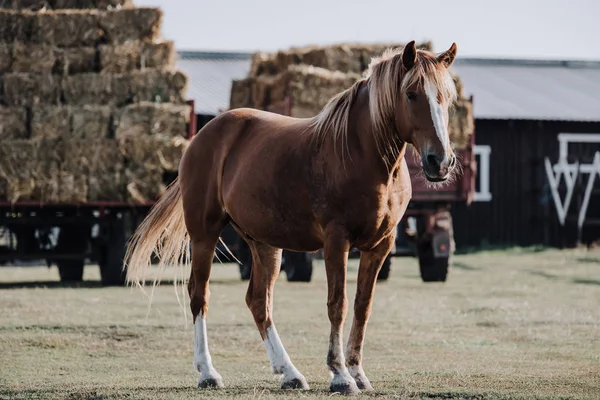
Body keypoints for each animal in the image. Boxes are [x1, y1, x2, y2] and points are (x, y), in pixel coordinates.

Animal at [123, 39, 460, 396]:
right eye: (411, 94)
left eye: (446, 96)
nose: (441, 161)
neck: (360, 154)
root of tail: (203, 136)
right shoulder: (336, 242)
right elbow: (338, 304)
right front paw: (340, 375)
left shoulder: (380, 246)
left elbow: (362, 306)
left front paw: (358, 373)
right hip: (204, 234)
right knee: (199, 295)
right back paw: (208, 373)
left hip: (264, 244)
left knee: (259, 302)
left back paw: (289, 373)